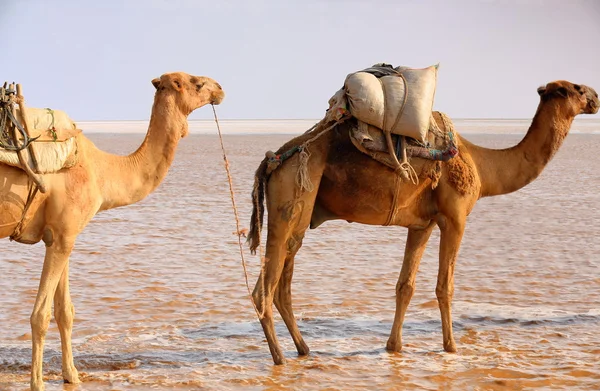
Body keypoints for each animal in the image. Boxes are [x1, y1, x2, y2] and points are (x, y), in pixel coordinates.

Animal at [0, 72, 225, 390]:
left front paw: (72, 375)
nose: (220, 89)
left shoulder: (59, 235)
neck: (101, 171)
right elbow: (40, 315)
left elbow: (64, 311)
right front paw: (37, 384)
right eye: (196, 83)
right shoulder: (65, 234)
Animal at [246, 80, 596, 368]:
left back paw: (303, 349)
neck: (483, 168)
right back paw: (279, 358)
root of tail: (273, 159)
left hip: (301, 214)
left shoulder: (422, 225)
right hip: (292, 194)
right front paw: (451, 347)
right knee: (264, 287)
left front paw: (394, 347)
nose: (595, 98)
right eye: (575, 89)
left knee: (283, 282)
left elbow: (406, 286)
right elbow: (445, 286)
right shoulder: (455, 218)